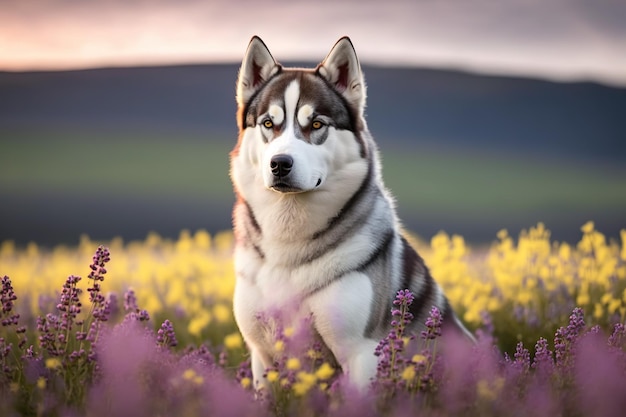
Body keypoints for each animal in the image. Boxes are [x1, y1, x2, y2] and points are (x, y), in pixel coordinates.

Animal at [232, 35, 470, 390]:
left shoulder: (361, 353)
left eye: (316, 124)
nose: (280, 164)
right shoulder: (262, 354)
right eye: (268, 124)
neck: (288, 243)